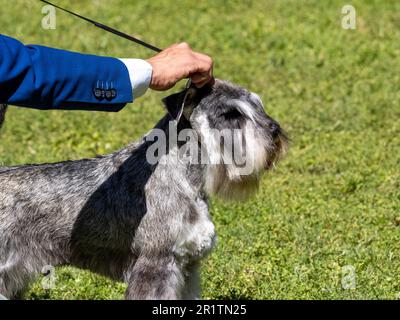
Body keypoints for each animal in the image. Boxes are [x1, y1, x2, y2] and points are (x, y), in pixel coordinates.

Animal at [0, 79, 288, 298]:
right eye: (230, 114)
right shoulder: (156, 265)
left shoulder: (187, 267)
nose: (275, 132)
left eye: (257, 104)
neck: (182, 177)